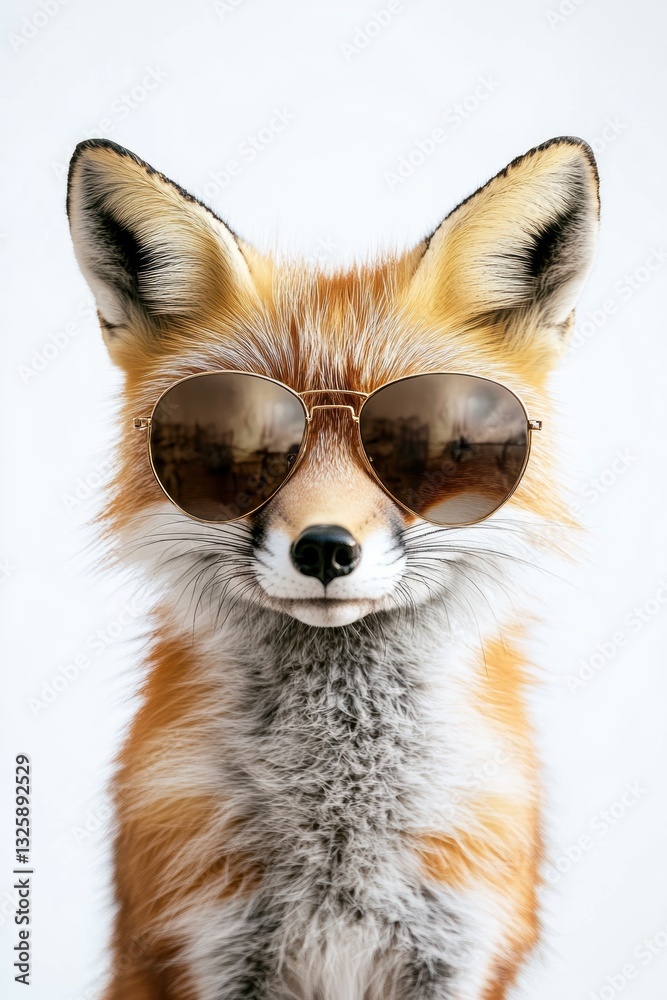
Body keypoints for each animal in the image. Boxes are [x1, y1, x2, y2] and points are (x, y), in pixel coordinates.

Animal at [67, 135, 599, 1000]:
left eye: (430, 437)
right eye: (237, 440)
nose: (323, 548)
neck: (340, 828)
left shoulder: (458, 946)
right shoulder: (206, 944)